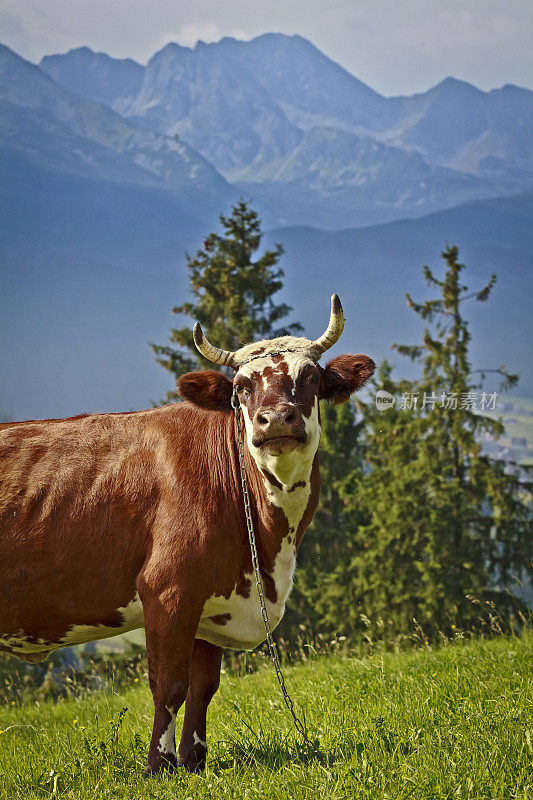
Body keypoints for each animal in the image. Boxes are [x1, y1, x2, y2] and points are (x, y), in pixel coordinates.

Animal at [0, 296, 374, 776]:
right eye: (241, 388)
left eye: (309, 376)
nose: (275, 418)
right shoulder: (168, 590)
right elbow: (169, 685)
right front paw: (159, 765)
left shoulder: (212, 602)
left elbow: (203, 688)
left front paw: (194, 760)